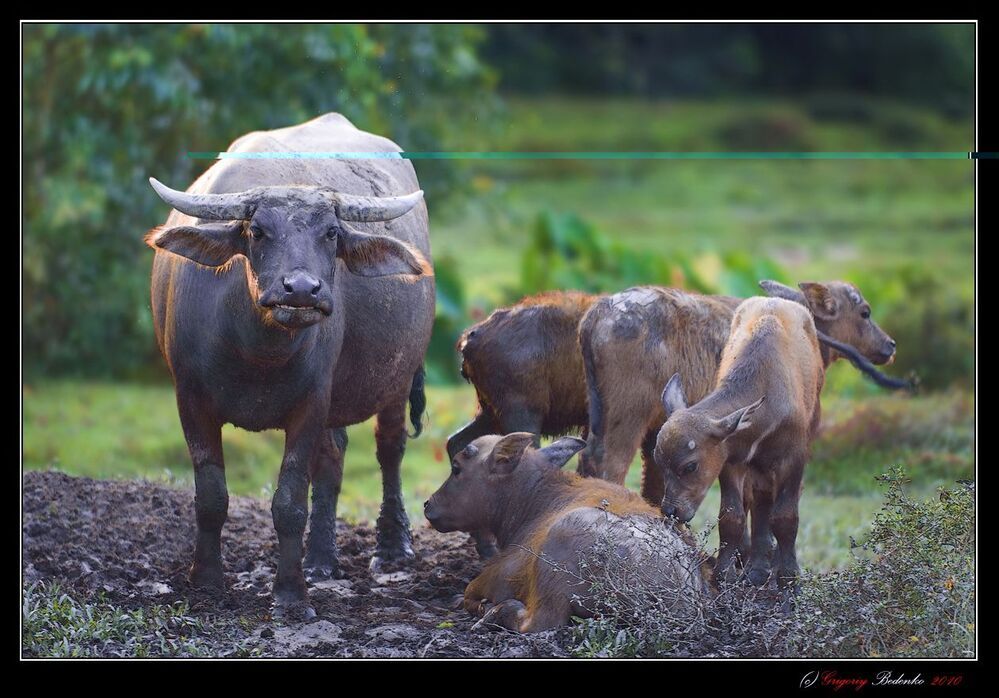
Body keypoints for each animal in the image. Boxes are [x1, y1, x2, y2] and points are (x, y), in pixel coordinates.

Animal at [145, 113, 435, 612]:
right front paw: (206, 579)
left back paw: (391, 549)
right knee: (334, 457)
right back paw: (320, 559)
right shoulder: (191, 399)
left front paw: (290, 593)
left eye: (331, 233)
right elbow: (210, 496)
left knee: (389, 448)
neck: (256, 351)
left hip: (397, 378)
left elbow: (289, 501)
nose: (301, 289)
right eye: (257, 231)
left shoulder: (311, 403)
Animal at [424, 433, 710, 632]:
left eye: (456, 468)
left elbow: (469, 592)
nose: (428, 505)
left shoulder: (497, 576)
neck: (535, 499)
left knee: (539, 622)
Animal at [654, 297, 825, 586]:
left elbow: (786, 516)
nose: (671, 510)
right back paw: (756, 569)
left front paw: (788, 578)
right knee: (760, 501)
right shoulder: (731, 462)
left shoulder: (793, 458)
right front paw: (725, 574)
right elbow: (731, 517)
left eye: (690, 466)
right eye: (659, 462)